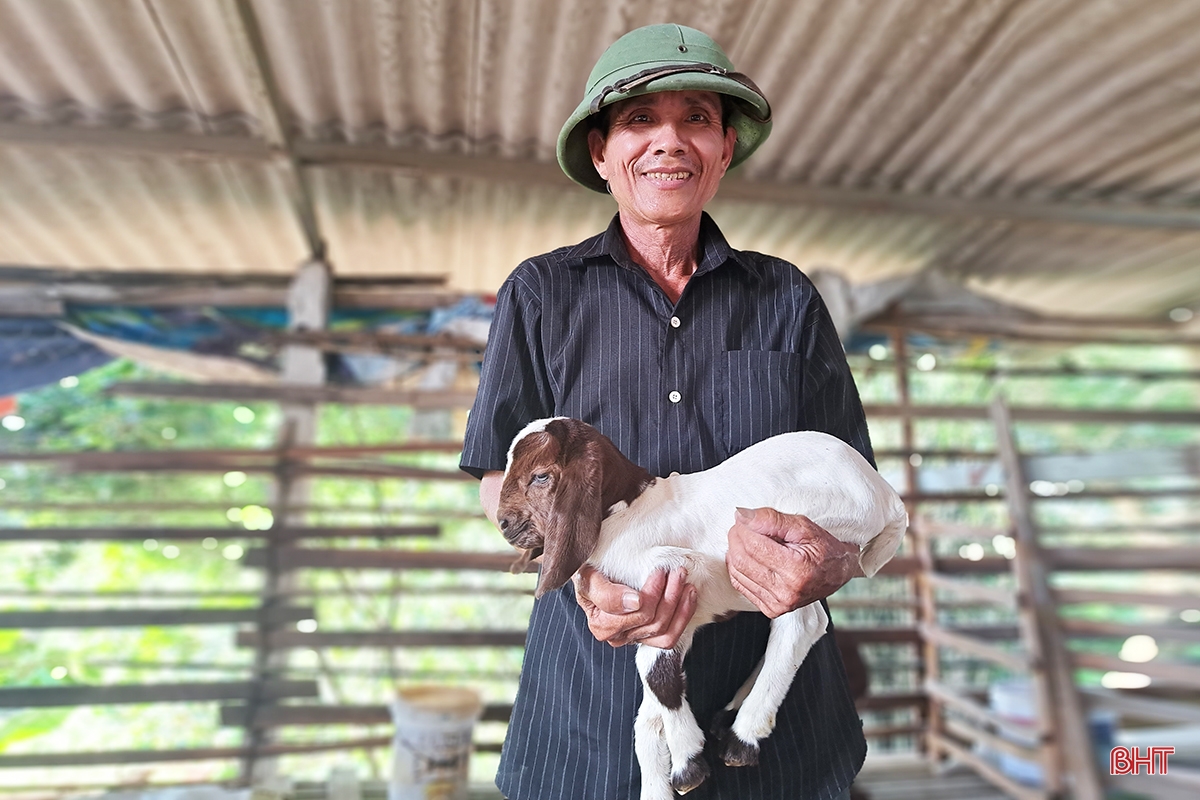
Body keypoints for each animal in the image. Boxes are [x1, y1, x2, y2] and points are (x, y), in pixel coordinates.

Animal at [492, 419, 902, 800]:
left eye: (540, 475)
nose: (504, 523)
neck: (627, 513)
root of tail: (886, 495)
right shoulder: (677, 620)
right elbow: (650, 701)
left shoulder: (679, 573)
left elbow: (653, 672)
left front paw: (688, 763)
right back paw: (731, 713)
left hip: (798, 542)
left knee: (803, 622)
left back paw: (744, 735)